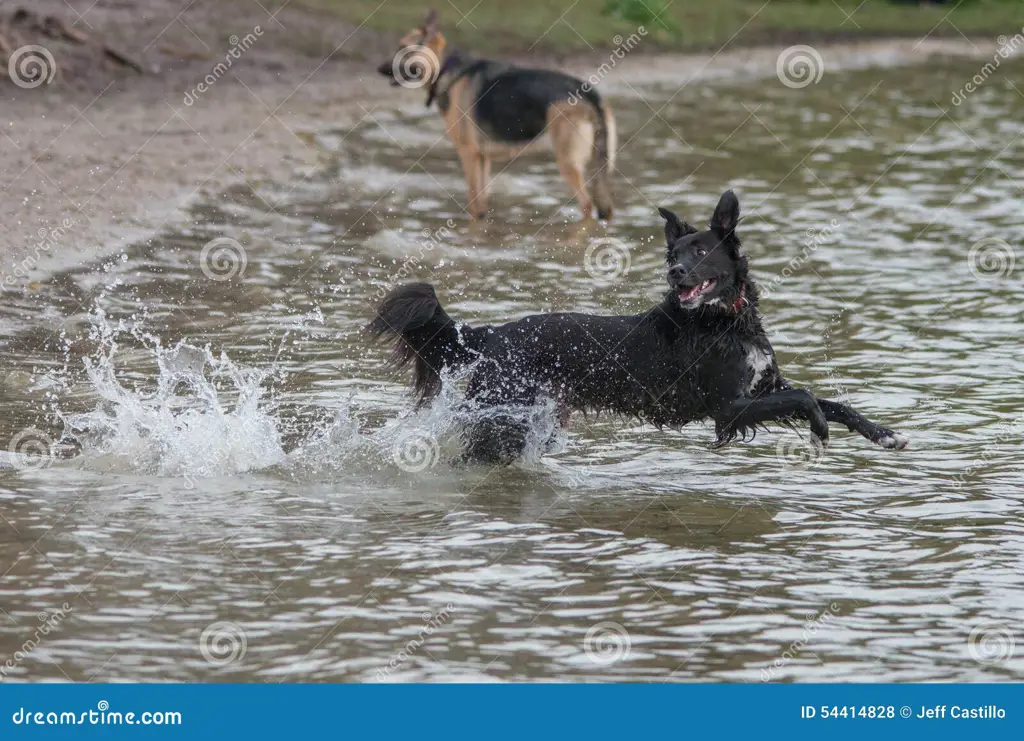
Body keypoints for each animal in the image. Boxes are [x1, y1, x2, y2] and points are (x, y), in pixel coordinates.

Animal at [370, 191, 913, 466]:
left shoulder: (762, 389)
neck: (724, 320)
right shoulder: (728, 409)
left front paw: (883, 435)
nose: (675, 273)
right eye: (675, 254)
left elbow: (833, 400)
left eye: (700, 250)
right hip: (503, 417)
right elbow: (805, 399)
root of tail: (493, 333)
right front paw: (820, 431)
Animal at [376, 9, 614, 220]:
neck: (446, 69)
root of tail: (588, 92)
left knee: (587, 205)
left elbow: (473, 203)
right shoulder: (483, 158)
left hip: (568, 163)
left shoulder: (469, 155)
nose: (378, 69)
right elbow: (481, 205)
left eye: (403, 48)